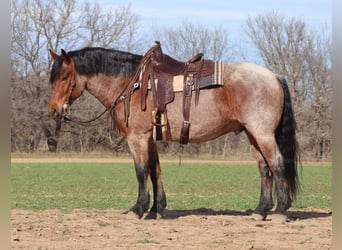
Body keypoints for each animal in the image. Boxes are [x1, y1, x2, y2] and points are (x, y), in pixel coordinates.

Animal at [48, 44, 300, 221]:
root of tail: (274, 76)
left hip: (262, 133)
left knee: (277, 164)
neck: (132, 85)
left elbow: (141, 171)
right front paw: (156, 209)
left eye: (64, 77)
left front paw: (138, 209)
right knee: (264, 168)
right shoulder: (150, 138)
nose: (53, 110)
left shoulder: (137, 138)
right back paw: (260, 210)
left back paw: (280, 211)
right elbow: (155, 171)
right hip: (252, 135)